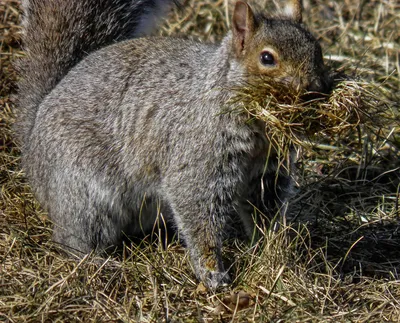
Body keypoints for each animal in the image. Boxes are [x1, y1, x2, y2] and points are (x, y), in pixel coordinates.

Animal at [14, 0, 332, 290]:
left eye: (317, 49)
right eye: (267, 58)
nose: (316, 90)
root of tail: (31, 142)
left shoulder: (266, 172)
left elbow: (265, 211)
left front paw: (274, 251)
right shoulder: (197, 159)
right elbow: (198, 212)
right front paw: (212, 272)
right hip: (83, 194)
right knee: (71, 241)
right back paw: (99, 262)